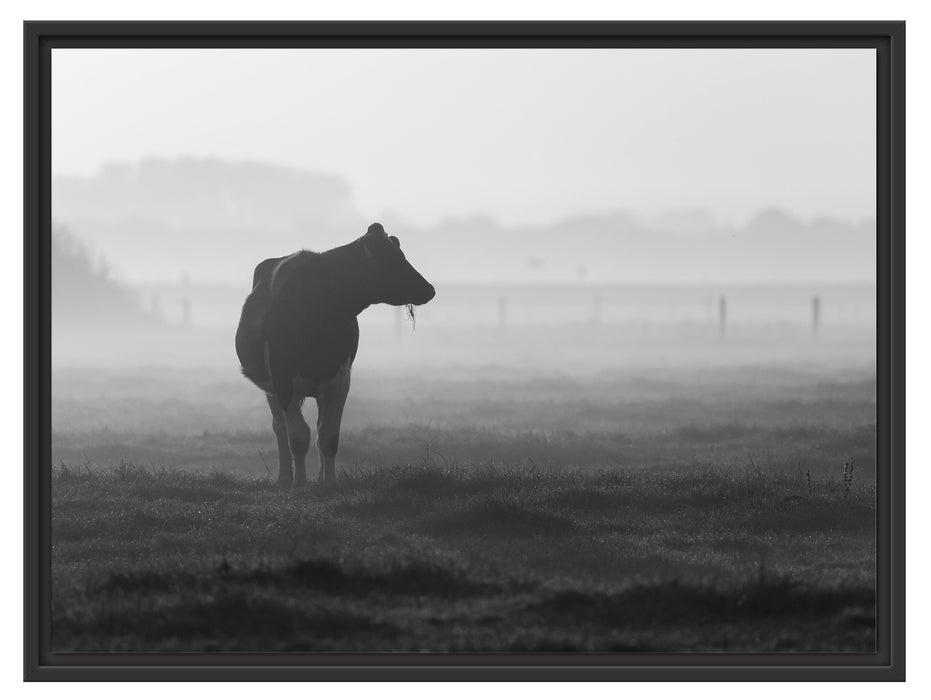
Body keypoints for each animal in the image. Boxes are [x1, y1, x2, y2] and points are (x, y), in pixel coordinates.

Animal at [233, 223, 436, 486]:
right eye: (392, 260)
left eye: (402, 255)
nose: (430, 290)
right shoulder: (283, 379)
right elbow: (298, 438)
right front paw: (300, 483)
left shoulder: (340, 378)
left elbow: (329, 437)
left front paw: (328, 482)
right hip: (273, 390)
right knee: (280, 429)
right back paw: (285, 477)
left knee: (318, 427)